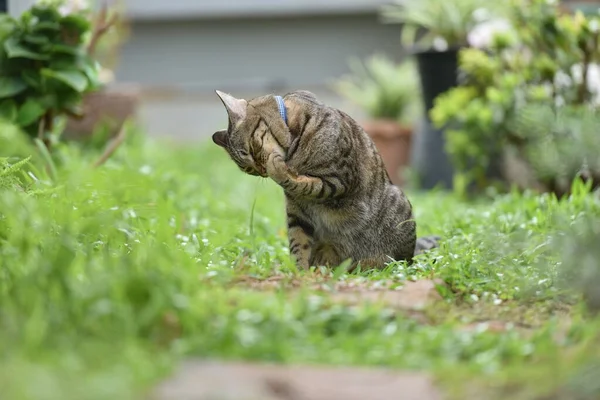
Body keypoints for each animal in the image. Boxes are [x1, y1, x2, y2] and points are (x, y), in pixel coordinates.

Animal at [213, 88, 438, 268]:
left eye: (250, 150)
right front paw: (300, 273)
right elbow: (298, 244)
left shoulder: (338, 180)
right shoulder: (297, 212)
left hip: (398, 207)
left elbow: (303, 183)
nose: (261, 170)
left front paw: (277, 167)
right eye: (249, 170)